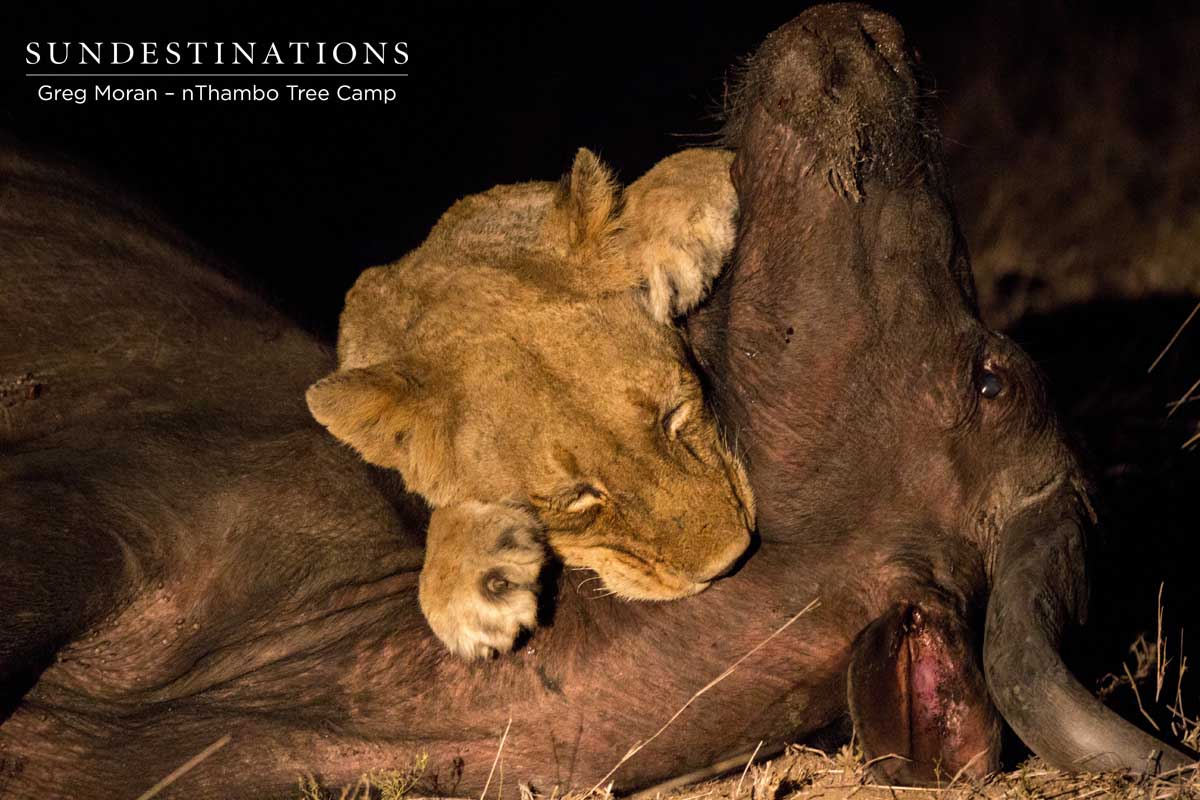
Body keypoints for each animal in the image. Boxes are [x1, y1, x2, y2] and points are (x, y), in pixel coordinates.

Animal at [306, 148, 755, 659]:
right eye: (575, 498)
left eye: (674, 415)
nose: (730, 560)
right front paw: (465, 579)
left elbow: (697, 160)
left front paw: (658, 239)